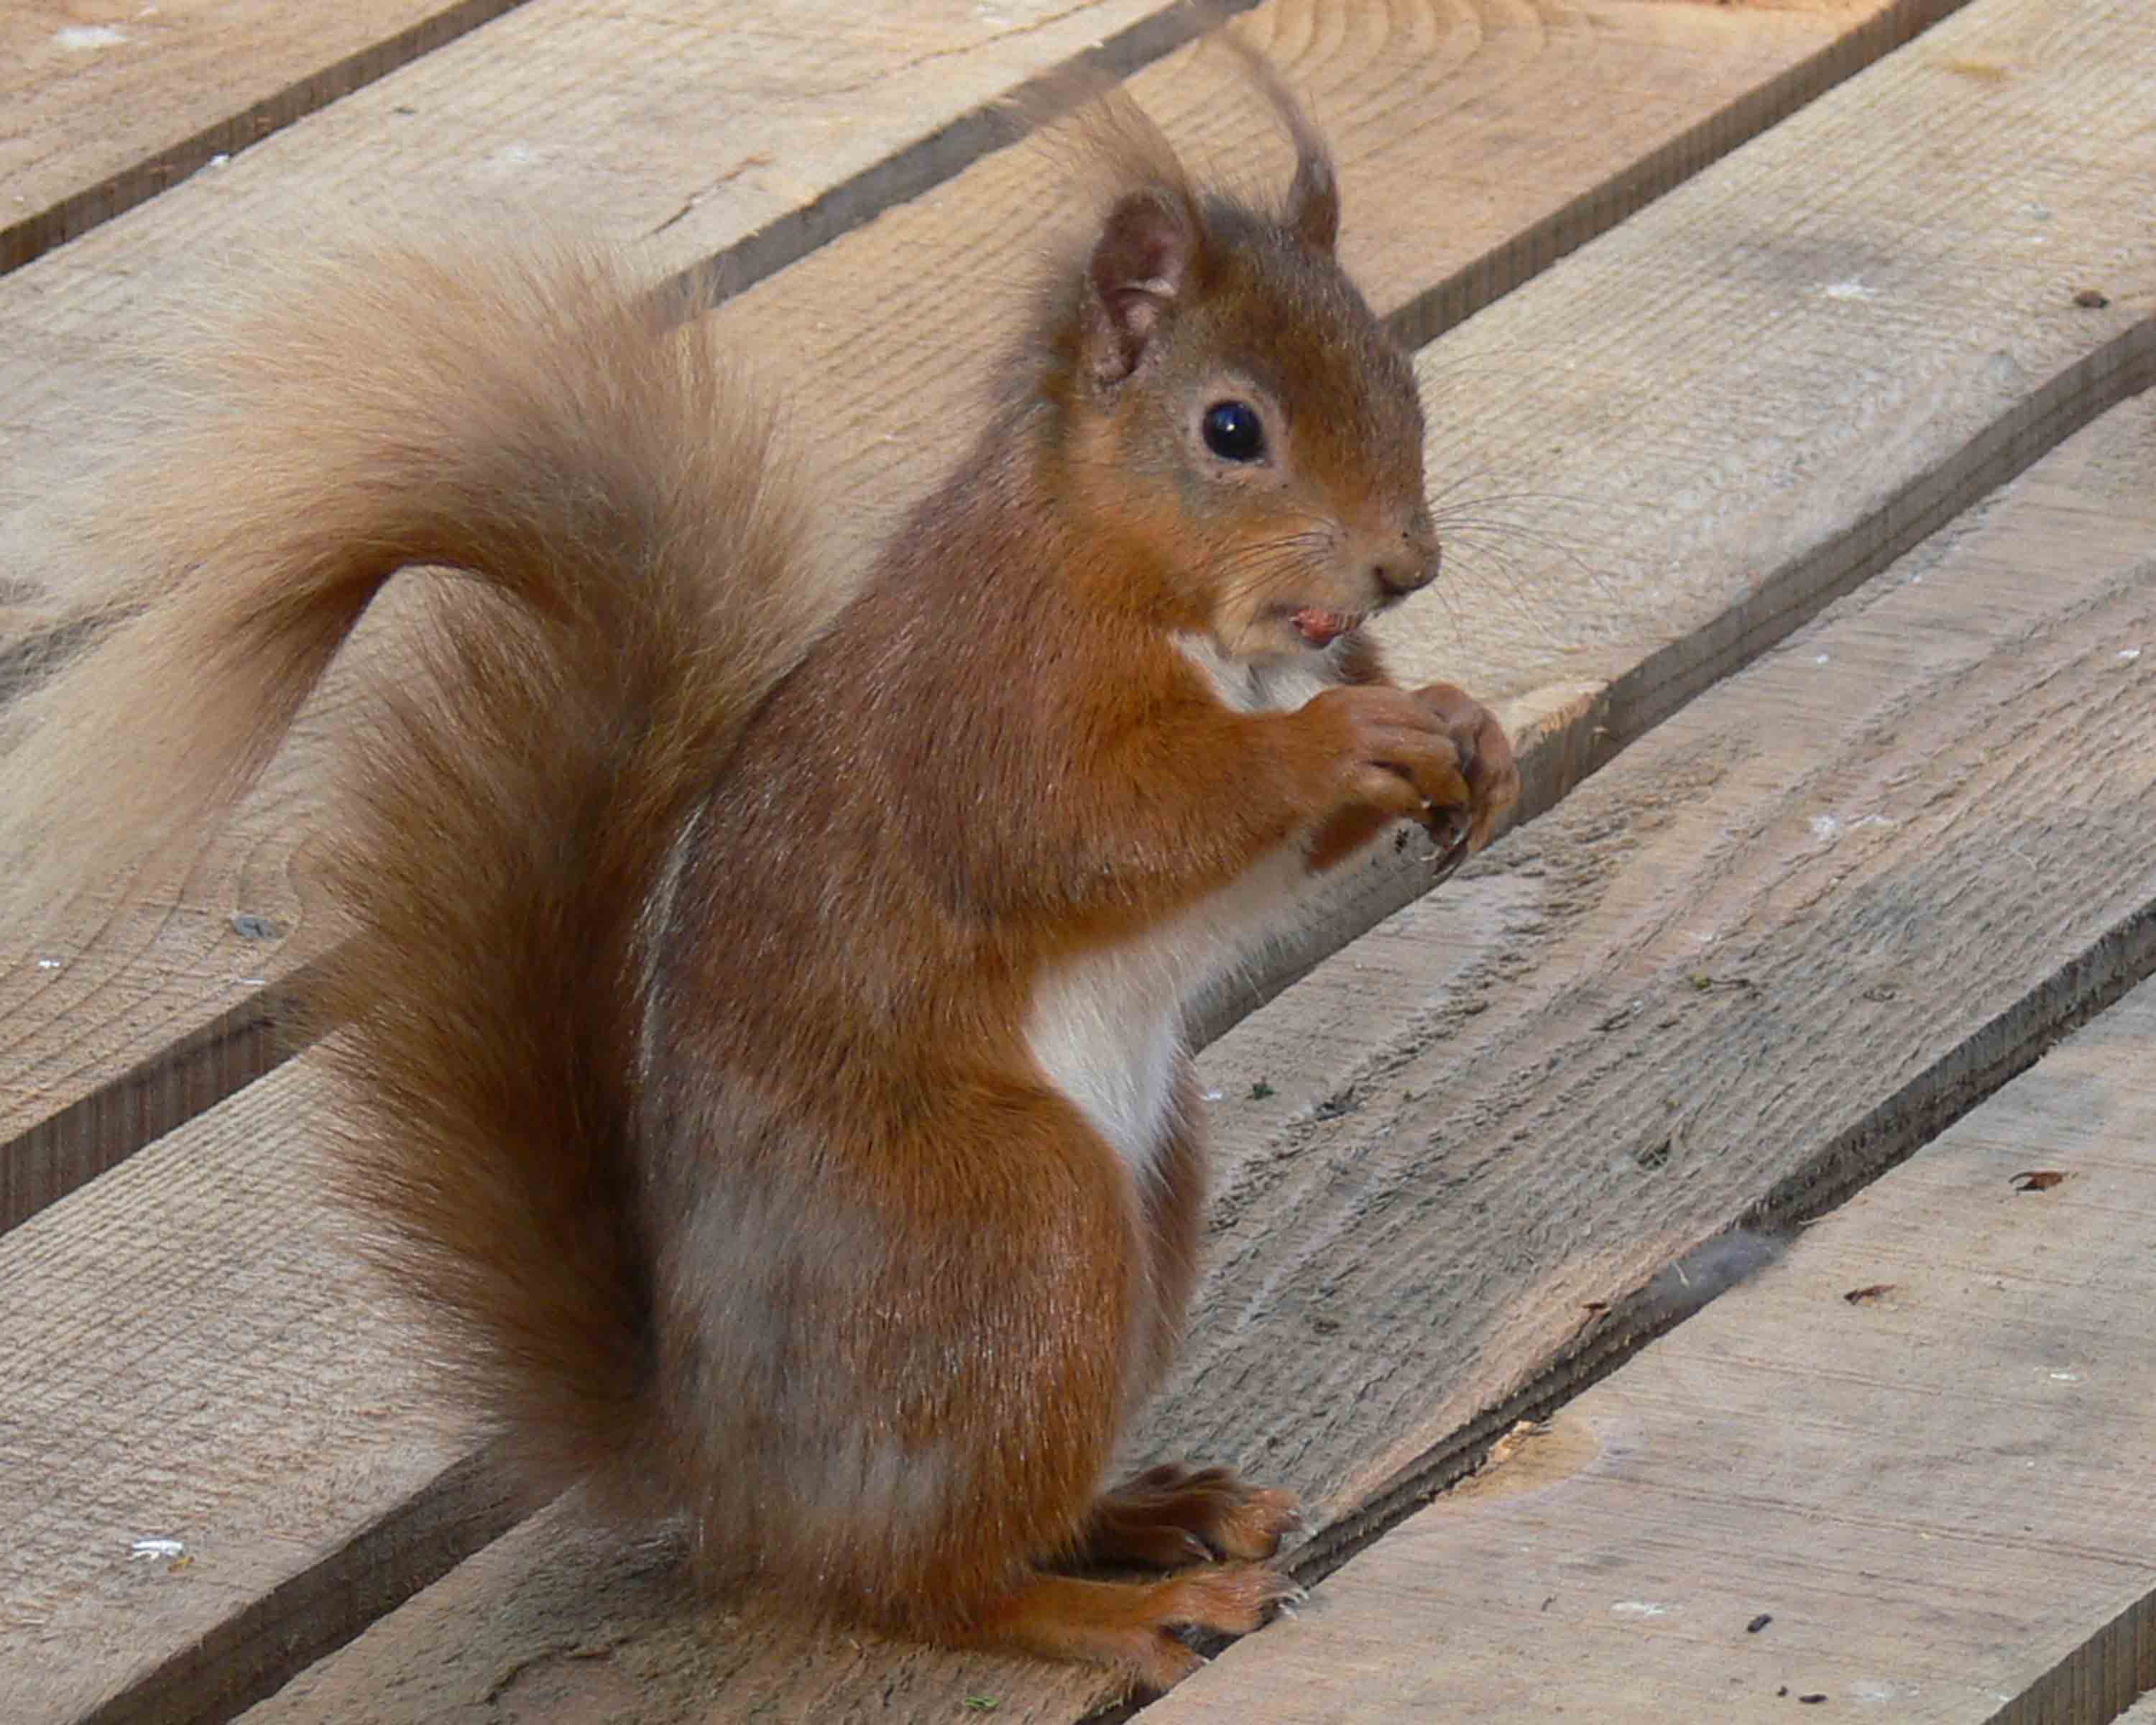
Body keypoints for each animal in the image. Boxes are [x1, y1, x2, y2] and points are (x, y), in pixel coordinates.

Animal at [3, 39, 1516, 1692]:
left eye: (1401, 376)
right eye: (1232, 430)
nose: (1406, 569)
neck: (1151, 582)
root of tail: (730, 1473)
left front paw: (1465, 729)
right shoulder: (997, 705)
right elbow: (1099, 827)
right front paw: (1347, 737)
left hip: (1147, 1181)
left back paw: (1153, 1507)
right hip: (1009, 1222)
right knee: (917, 1586)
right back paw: (1113, 1606)